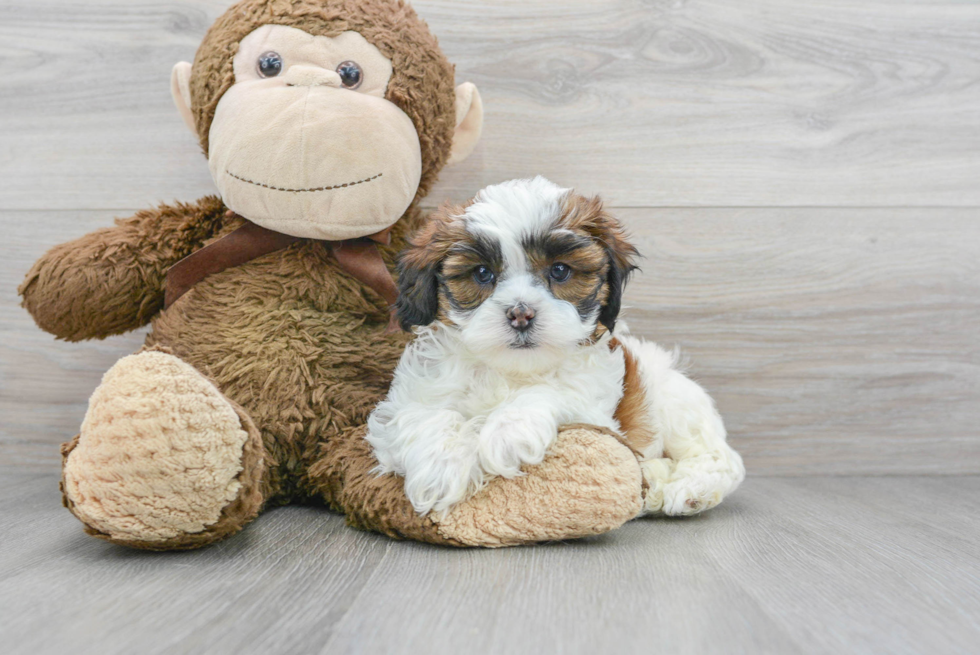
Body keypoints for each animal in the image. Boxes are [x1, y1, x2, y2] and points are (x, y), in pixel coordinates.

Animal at [368, 177, 744, 516]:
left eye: (560, 270)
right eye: (482, 273)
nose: (521, 314)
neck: (510, 370)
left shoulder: (596, 412)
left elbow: (550, 392)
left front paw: (506, 432)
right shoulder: (410, 396)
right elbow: (424, 414)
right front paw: (440, 467)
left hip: (673, 402)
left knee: (720, 457)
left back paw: (691, 489)